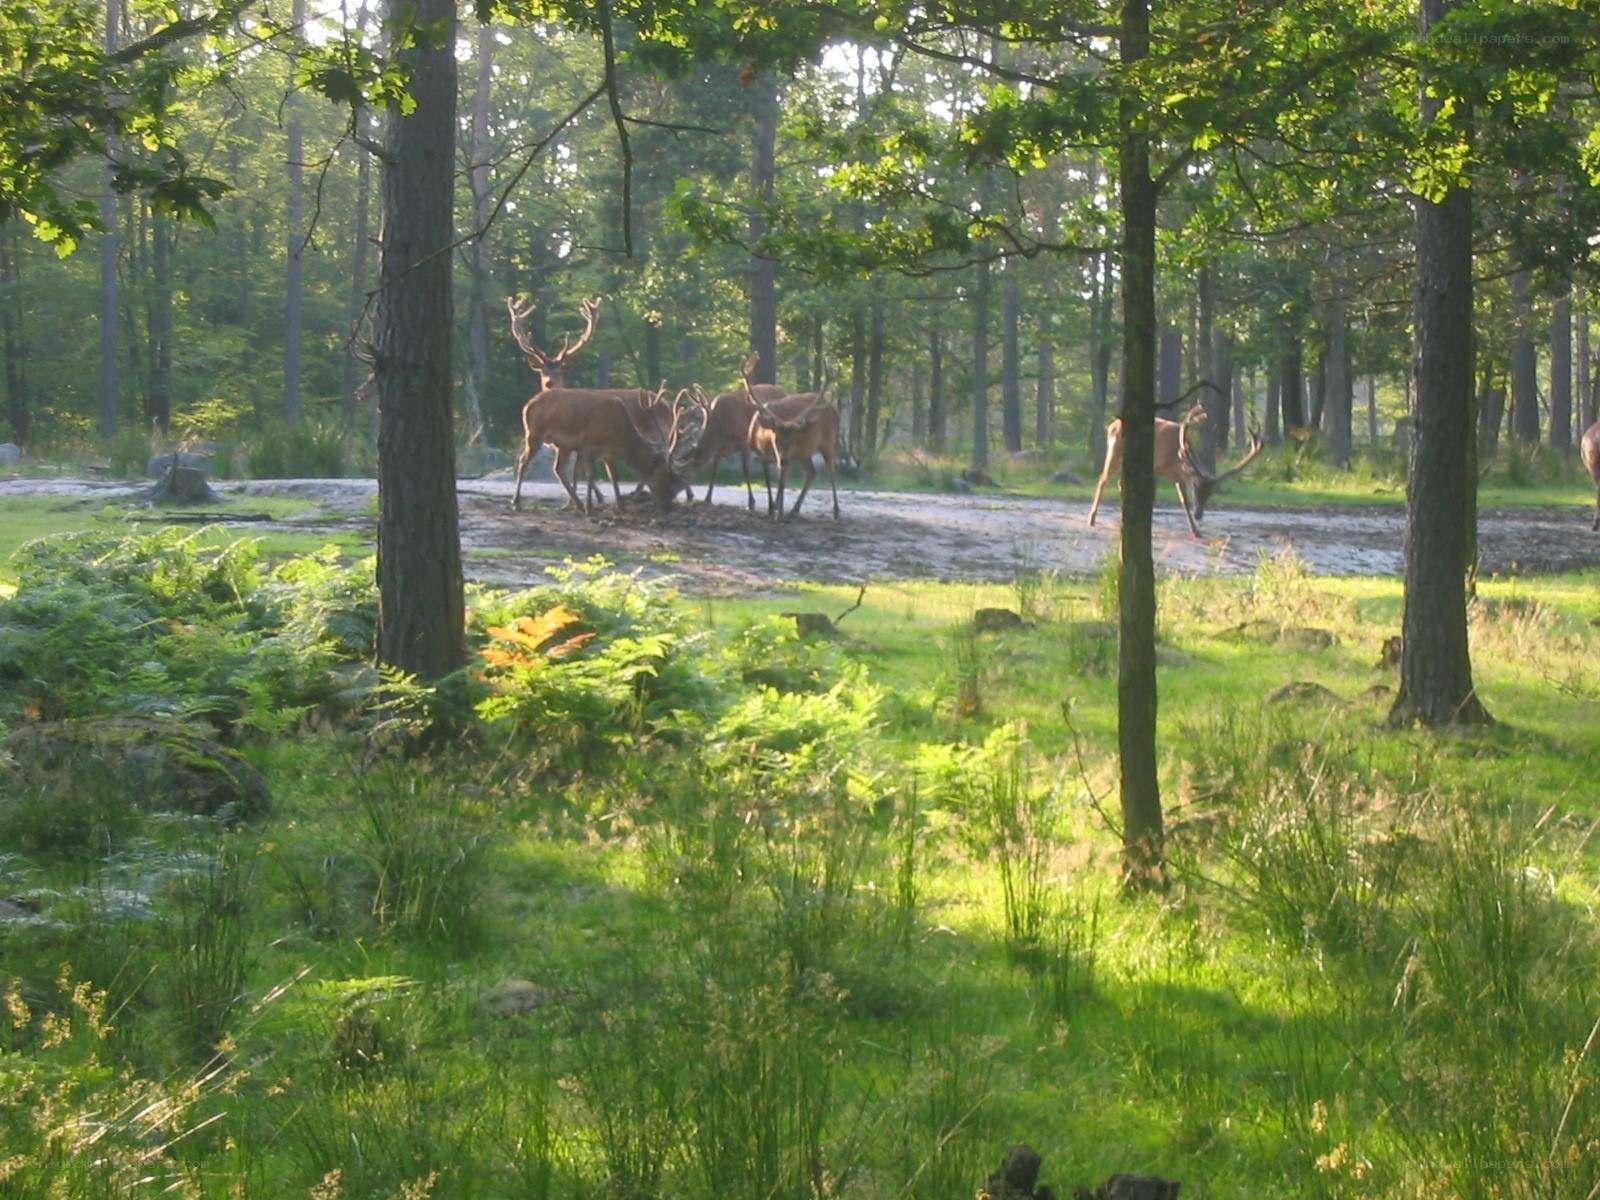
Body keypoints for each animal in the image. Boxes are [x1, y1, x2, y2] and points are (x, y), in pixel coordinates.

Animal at [680, 352, 789, 509]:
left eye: (688, 469)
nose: (688, 493)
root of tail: (785, 393)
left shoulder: (744, 441)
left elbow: (746, 470)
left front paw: (751, 502)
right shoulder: (719, 450)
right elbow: (714, 471)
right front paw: (707, 498)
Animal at [743, 370, 842, 520]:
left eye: (793, 440)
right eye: (775, 439)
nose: (784, 460)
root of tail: (835, 410)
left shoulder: (787, 456)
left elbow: (782, 483)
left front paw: (778, 512)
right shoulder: (763, 456)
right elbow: (769, 481)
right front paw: (772, 509)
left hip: (828, 442)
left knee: (832, 472)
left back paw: (836, 511)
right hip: (804, 452)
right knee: (811, 472)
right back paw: (794, 510)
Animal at [1087, 404, 1265, 537]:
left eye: (1211, 492)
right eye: (1195, 486)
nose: (1199, 514)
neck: (1176, 459)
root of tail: (1112, 425)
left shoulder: (1178, 477)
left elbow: (1184, 501)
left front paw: (1196, 531)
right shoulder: (1155, 467)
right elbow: (1153, 496)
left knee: (1120, 483)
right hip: (1114, 452)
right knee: (1103, 479)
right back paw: (1092, 519)